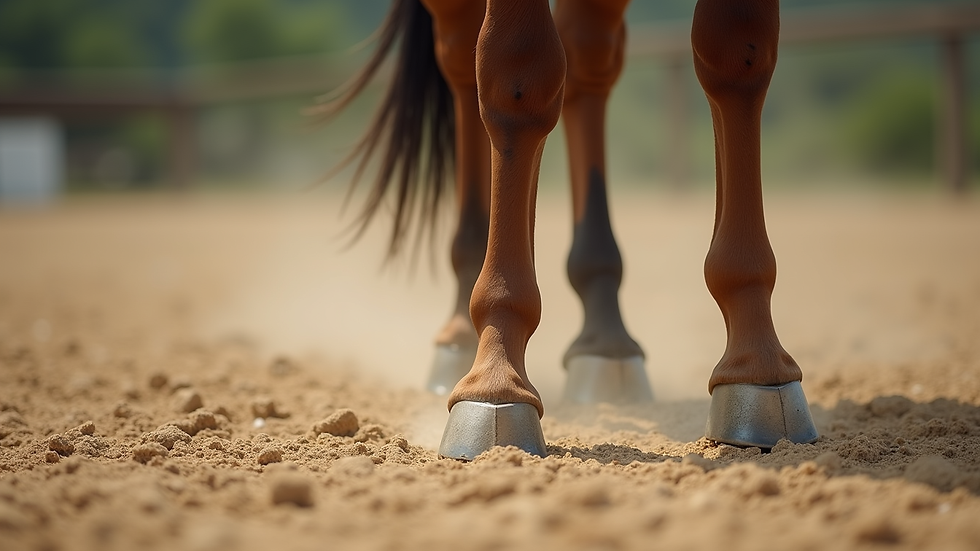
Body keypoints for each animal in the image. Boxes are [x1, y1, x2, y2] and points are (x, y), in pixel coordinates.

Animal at [315, 0, 818, 460]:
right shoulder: (513, 63)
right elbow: (516, 78)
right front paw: (495, 383)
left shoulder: (740, 43)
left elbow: (739, 51)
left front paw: (758, 365)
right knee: (462, 58)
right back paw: (462, 334)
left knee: (587, 58)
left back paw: (606, 341)